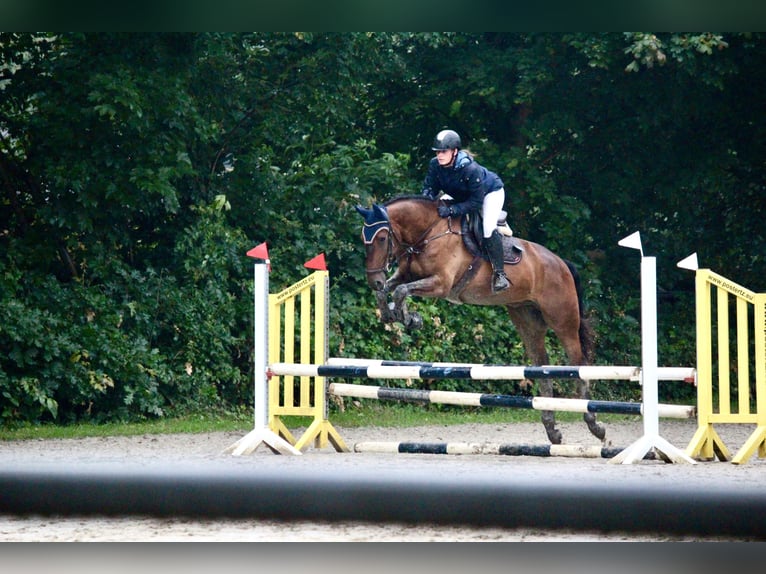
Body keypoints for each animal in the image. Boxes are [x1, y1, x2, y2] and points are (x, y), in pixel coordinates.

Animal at [356, 195, 608, 446]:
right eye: (363, 238)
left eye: (381, 238)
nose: (374, 280)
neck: (427, 234)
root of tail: (561, 263)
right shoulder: (406, 275)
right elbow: (391, 291)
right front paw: (396, 314)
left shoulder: (440, 283)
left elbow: (401, 291)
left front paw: (409, 318)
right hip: (526, 319)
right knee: (542, 368)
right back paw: (552, 430)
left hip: (563, 320)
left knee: (578, 364)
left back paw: (595, 426)